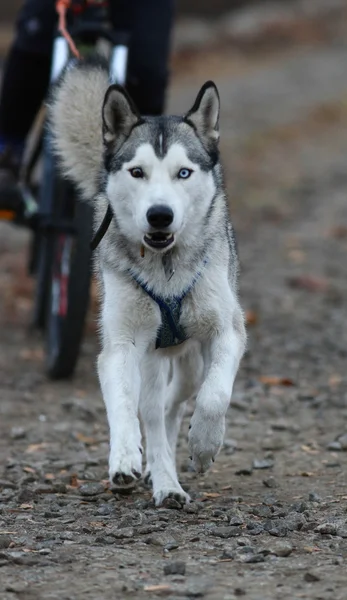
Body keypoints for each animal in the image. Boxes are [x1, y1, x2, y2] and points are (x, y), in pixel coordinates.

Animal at [51, 61, 247, 504]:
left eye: (184, 173)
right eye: (137, 172)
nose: (160, 215)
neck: (166, 270)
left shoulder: (227, 332)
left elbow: (216, 395)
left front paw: (205, 444)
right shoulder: (121, 345)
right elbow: (124, 405)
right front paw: (124, 457)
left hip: (190, 361)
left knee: (176, 402)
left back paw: (175, 468)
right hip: (152, 359)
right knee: (155, 414)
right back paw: (165, 481)